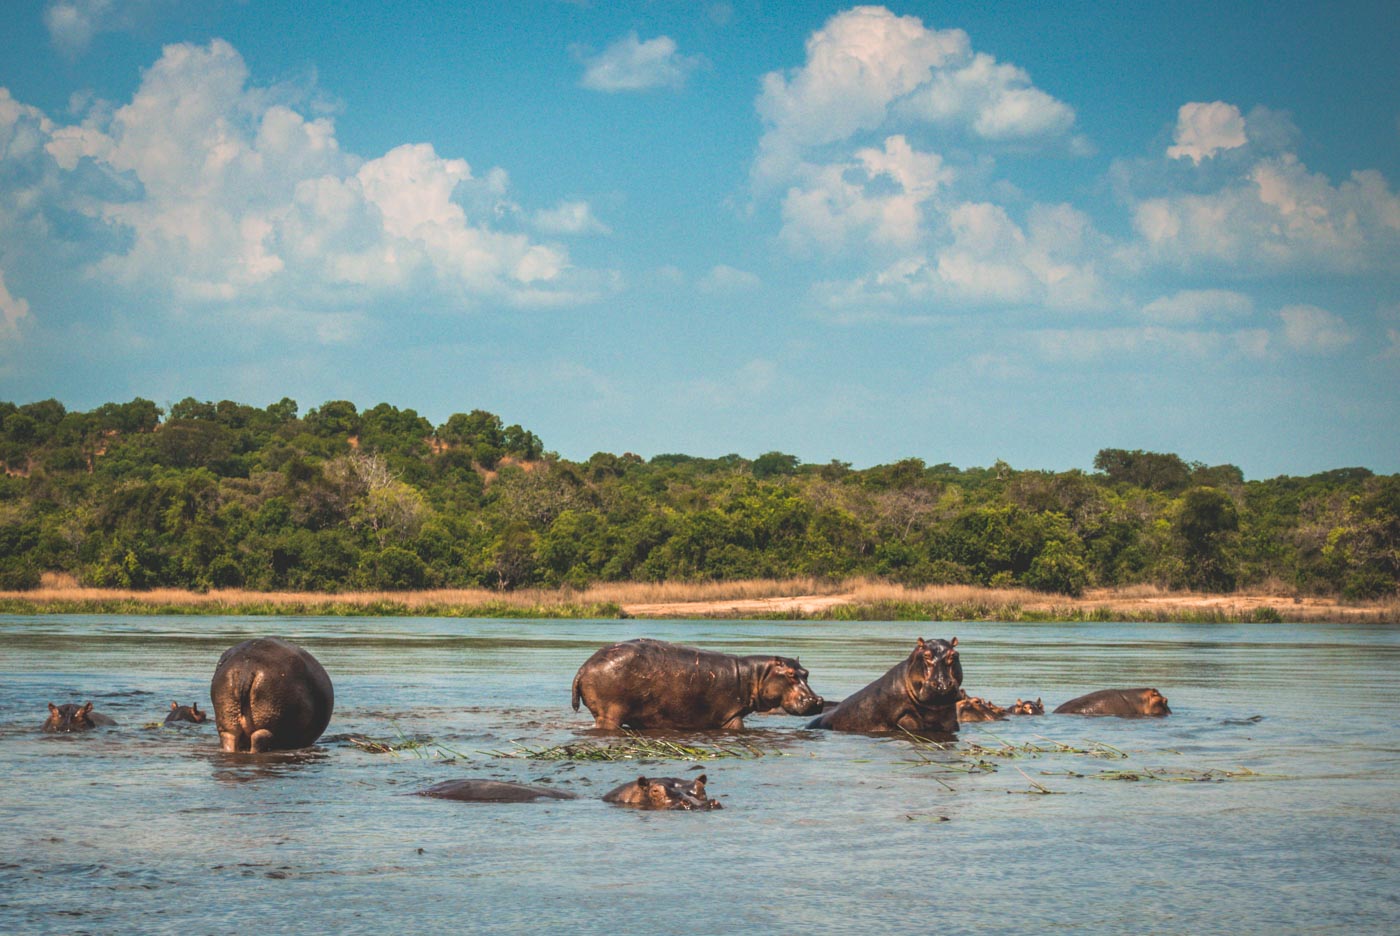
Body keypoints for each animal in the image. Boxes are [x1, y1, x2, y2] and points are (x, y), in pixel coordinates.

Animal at [574, 635, 823, 727]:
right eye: (790, 674)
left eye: (806, 672)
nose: (818, 700)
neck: (755, 674)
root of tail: (584, 667)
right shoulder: (731, 716)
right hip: (609, 714)